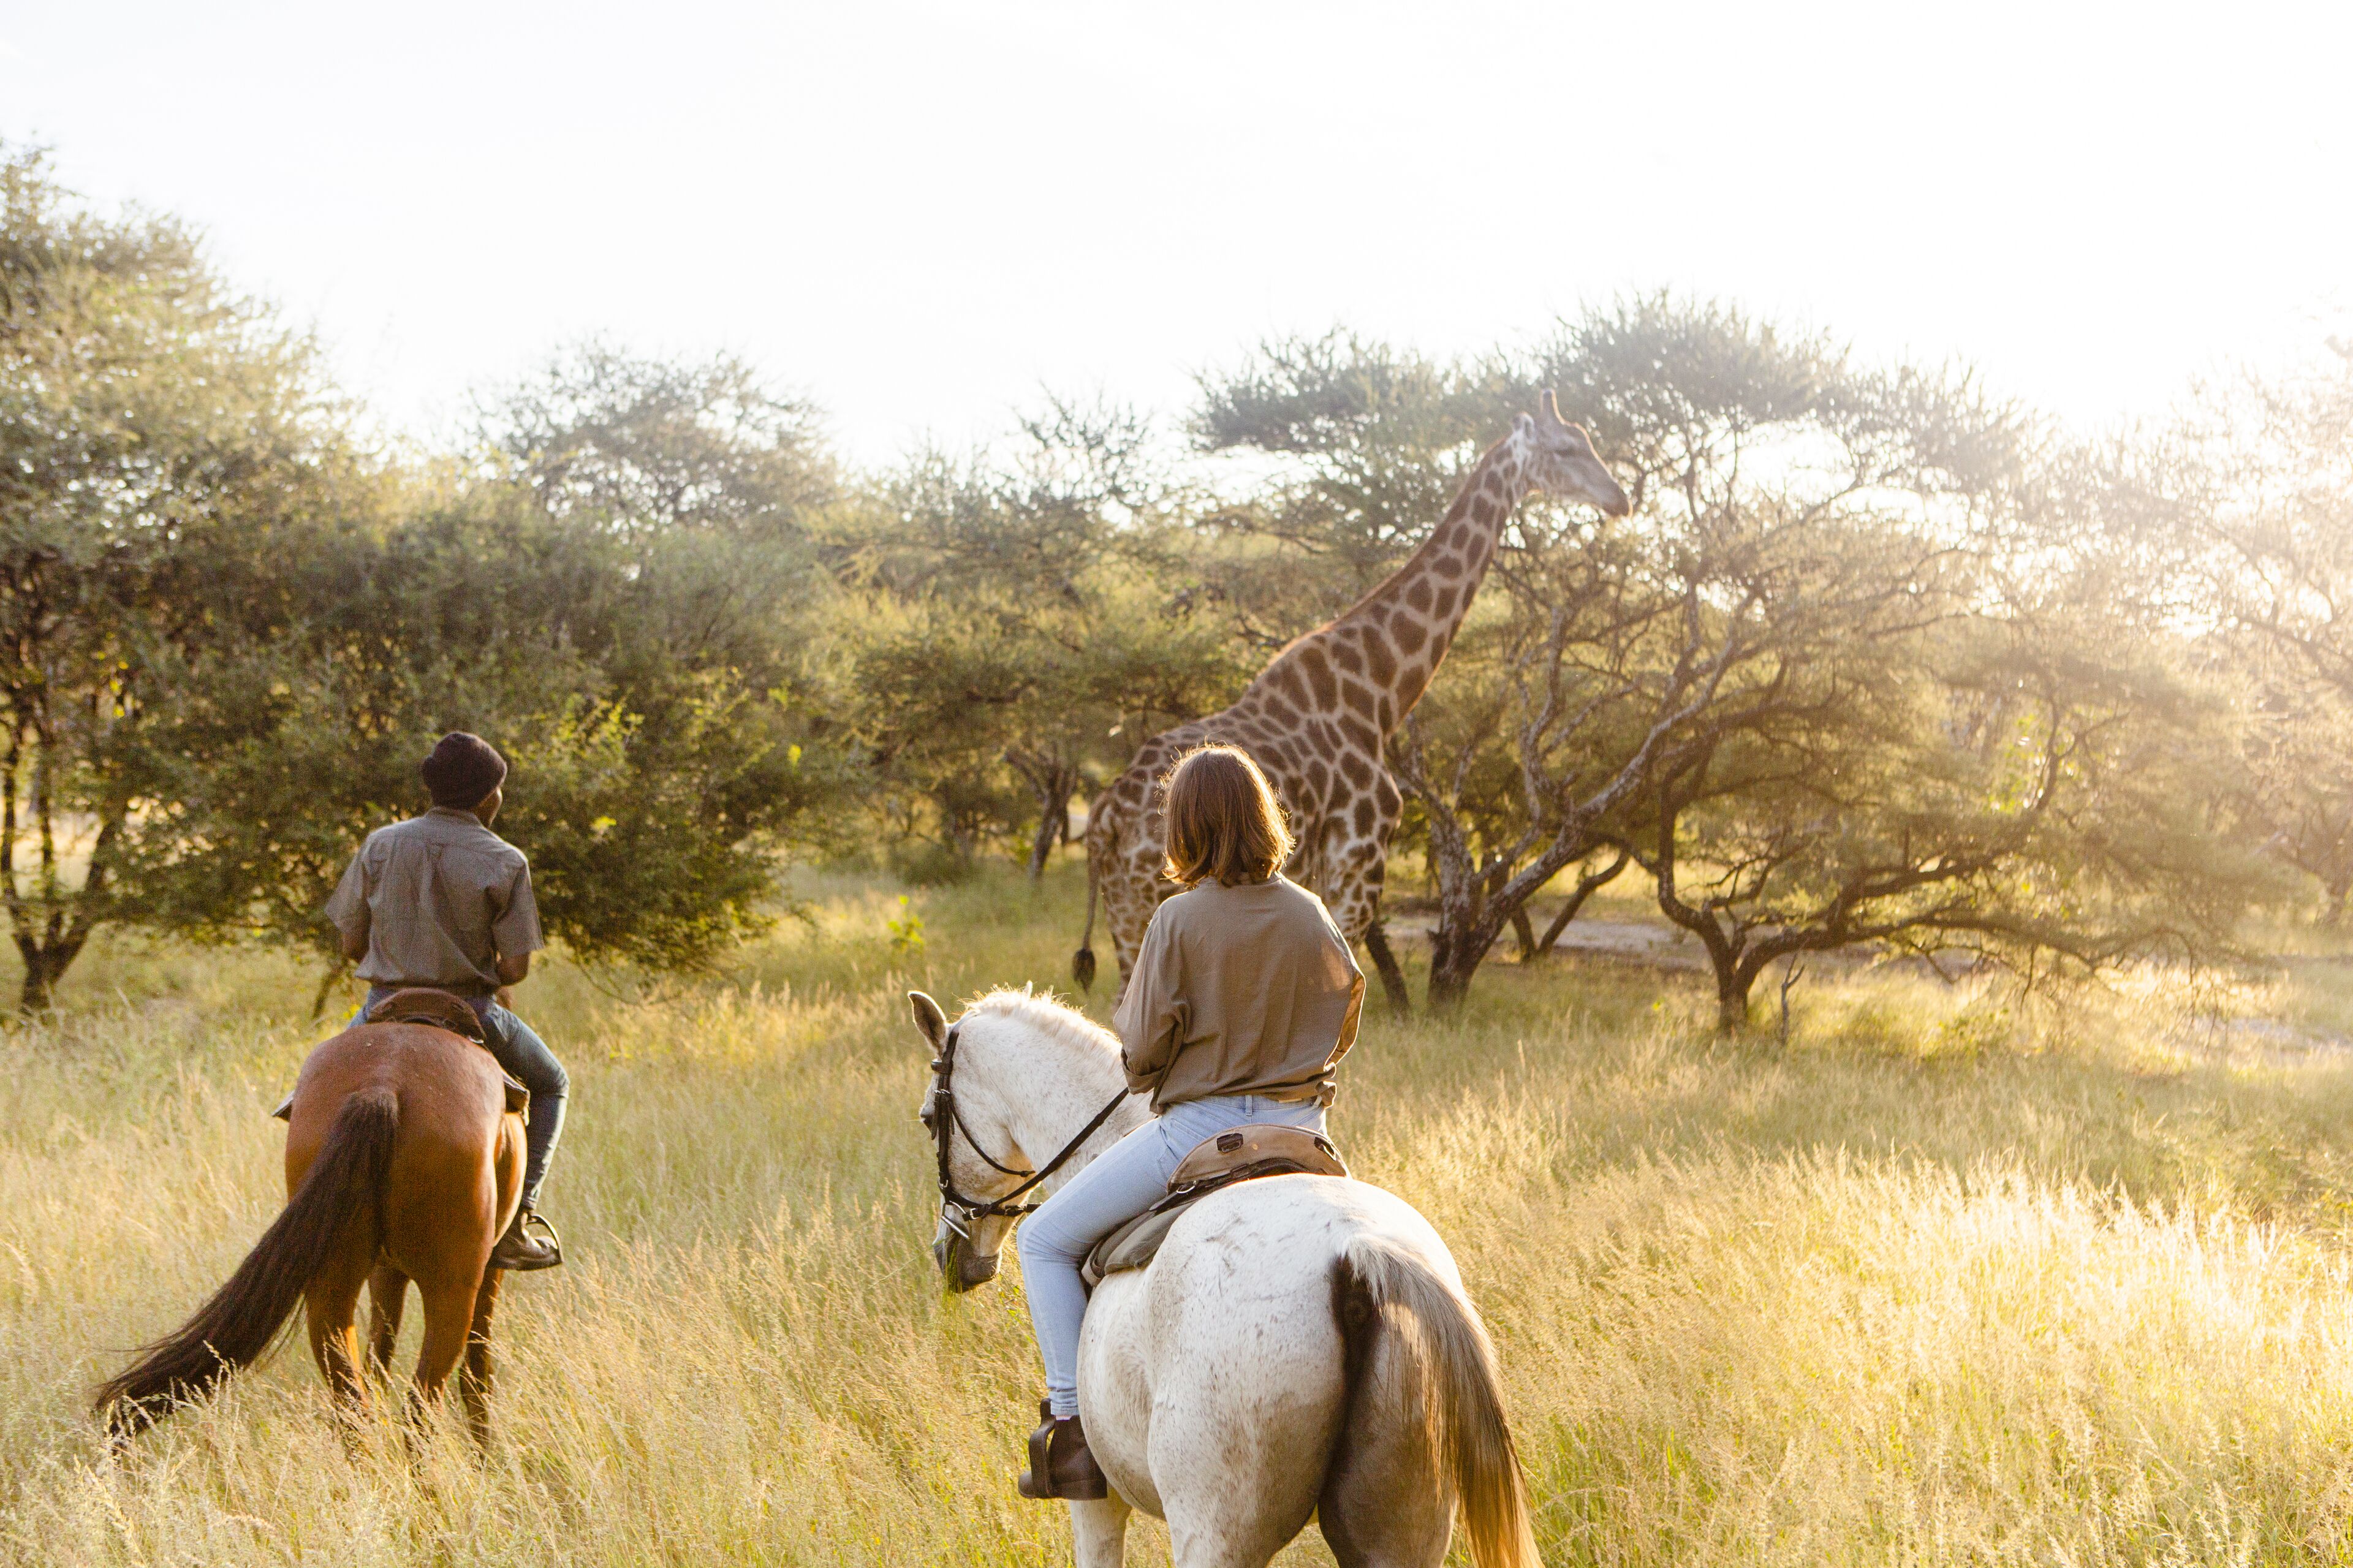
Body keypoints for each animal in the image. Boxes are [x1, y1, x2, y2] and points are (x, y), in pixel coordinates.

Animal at [95, 1014, 527, 1446]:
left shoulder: (385, 1269)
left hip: (330, 1285)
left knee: (354, 1403)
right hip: (451, 1289)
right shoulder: (488, 1266)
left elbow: (380, 1357)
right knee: (421, 1406)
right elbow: (475, 1368)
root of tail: (383, 1085)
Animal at [911, 987, 1538, 1568]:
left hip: (1215, 1533)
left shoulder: (1097, 1503)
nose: (949, 1254)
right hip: (1401, 1530)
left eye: (928, 1120)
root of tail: (1360, 1251)